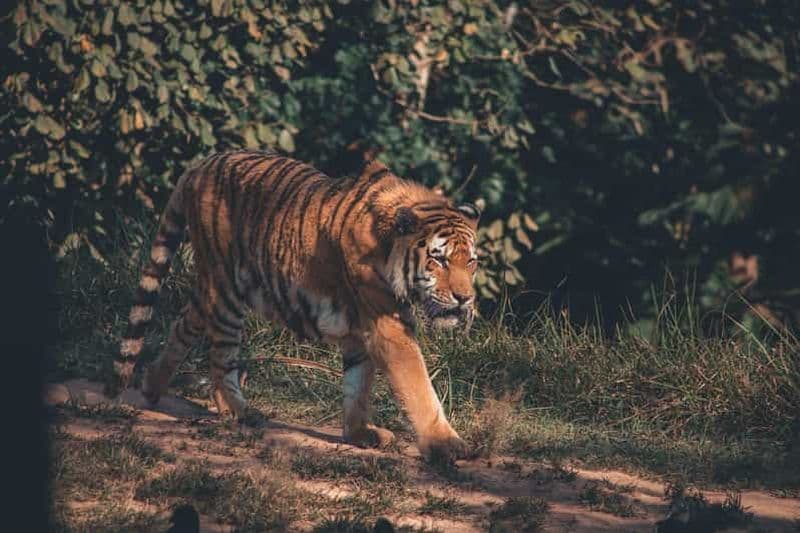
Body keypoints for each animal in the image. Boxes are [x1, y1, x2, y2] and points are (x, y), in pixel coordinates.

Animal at [108, 149, 481, 460]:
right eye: (439, 260)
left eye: (471, 262)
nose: (465, 298)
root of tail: (201, 164)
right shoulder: (387, 324)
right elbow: (417, 384)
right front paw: (445, 444)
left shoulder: (361, 329)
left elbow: (358, 384)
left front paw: (359, 434)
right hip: (227, 289)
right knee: (221, 357)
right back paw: (240, 412)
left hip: (214, 289)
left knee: (185, 323)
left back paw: (152, 385)